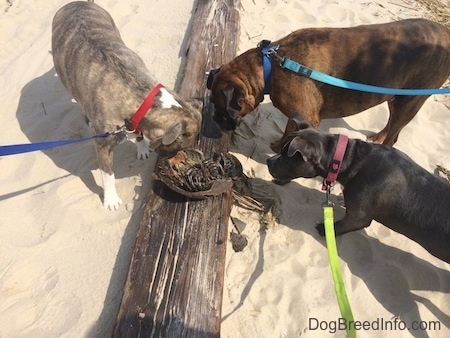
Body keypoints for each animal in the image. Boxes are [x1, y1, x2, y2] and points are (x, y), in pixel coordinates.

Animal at [51, 1, 201, 210]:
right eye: (176, 149)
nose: (172, 160)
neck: (141, 96)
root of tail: (76, 4)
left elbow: (139, 134)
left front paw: (142, 147)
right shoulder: (102, 144)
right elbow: (107, 174)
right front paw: (111, 199)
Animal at [207, 18, 450, 151]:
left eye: (222, 108)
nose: (216, 119)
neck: (271, 65)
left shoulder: (306, 117)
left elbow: (291, 137)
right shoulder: (298, 116)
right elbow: (288, 132)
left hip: (409, 103)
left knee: (395, 135)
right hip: (394, 97)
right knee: (391, 123)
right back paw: (378, 137)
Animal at [268, 120, 450, 266]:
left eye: (286, 157)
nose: (269, 161)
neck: (350, 158)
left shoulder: (358, 218)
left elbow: (342, 225)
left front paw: (324, 230)